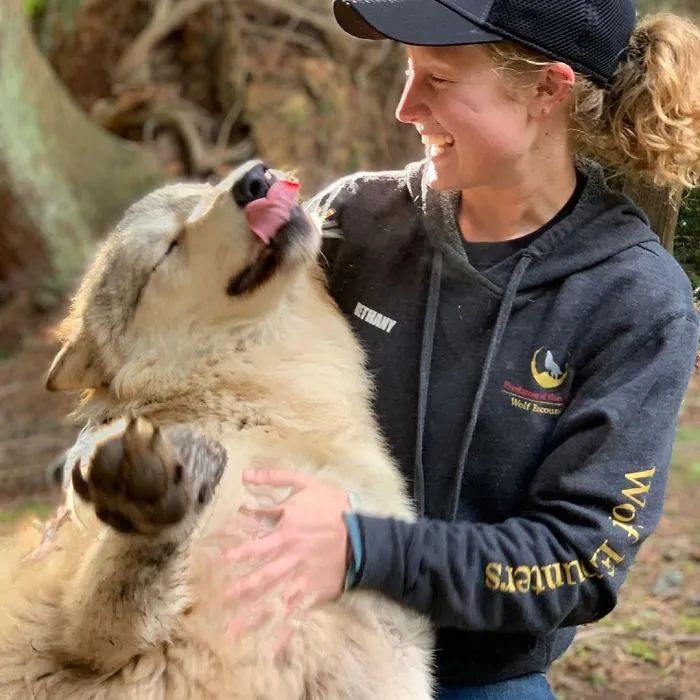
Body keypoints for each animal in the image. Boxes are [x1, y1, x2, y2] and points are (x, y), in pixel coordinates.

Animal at [0, 163, 432, 700]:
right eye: (167, 249)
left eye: (204, 191)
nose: (254, 178)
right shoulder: (66, 640)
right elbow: (108, 604)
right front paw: (148, 494)